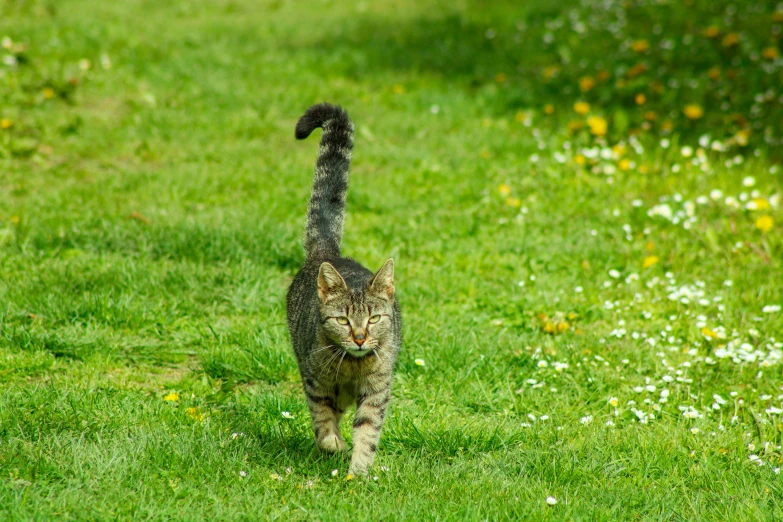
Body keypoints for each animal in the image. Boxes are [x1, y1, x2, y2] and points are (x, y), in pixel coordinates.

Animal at [284, 102, 402, 476]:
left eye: (374, 318)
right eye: (343, 320)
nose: (361, 338)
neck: (352, 367)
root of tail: (328, 253)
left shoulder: (377, 391)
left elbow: (367, 430)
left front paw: (359, 472)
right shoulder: (315, 381)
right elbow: (322, 419)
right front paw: (332, 443)